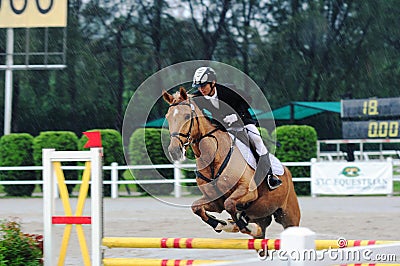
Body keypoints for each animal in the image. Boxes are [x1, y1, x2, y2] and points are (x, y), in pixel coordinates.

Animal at [162, 87, 300, 243]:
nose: (174, 151)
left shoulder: (247, 191)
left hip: (289, 216)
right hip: (263, 216)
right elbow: (197, 207)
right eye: (168, 117)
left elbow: (230, 205)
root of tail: (286, 171)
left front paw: (241, 225)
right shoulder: (215, 202)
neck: (213, 157)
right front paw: (222, 224)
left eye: (186, 116)